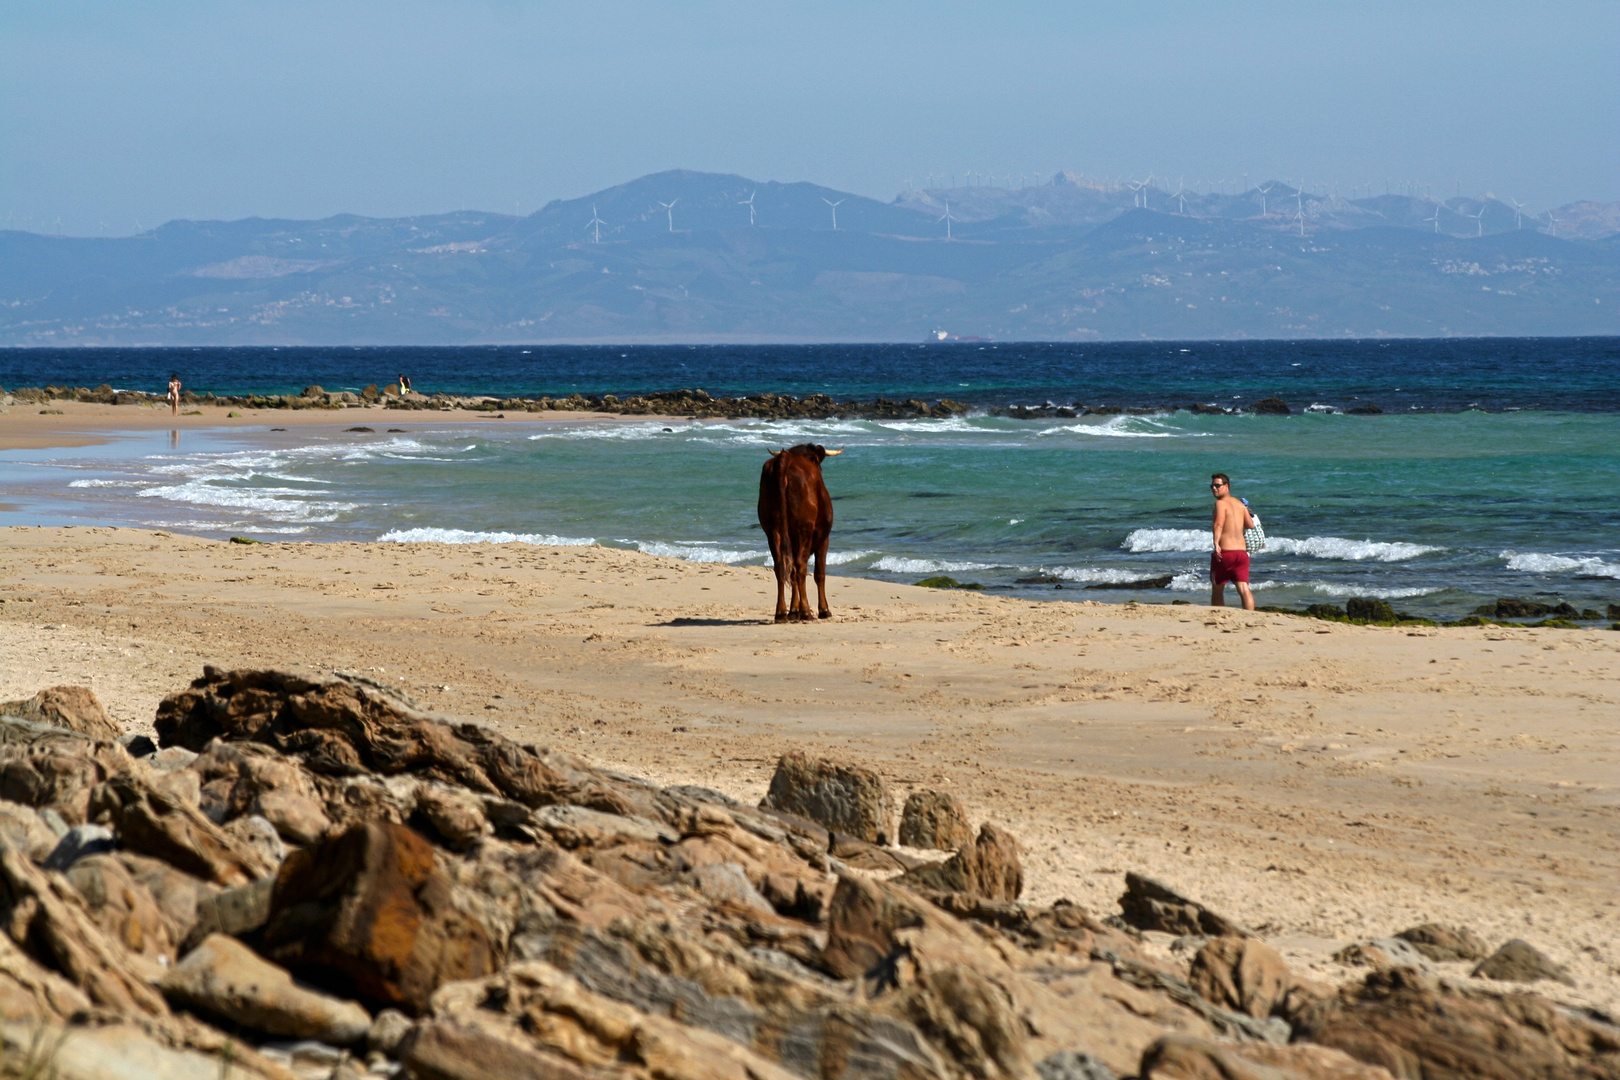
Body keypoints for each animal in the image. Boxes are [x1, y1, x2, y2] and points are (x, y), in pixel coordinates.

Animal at [754, 440, 842, 625]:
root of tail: (785, 458)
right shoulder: (824, 539)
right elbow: (819, 574)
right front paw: (823, 610)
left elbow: (792, 573)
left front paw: (793, 610)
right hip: (804, 529)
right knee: (801, 567)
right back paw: (806, 611)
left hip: (773, 531)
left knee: (781, 567)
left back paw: (781, 613)